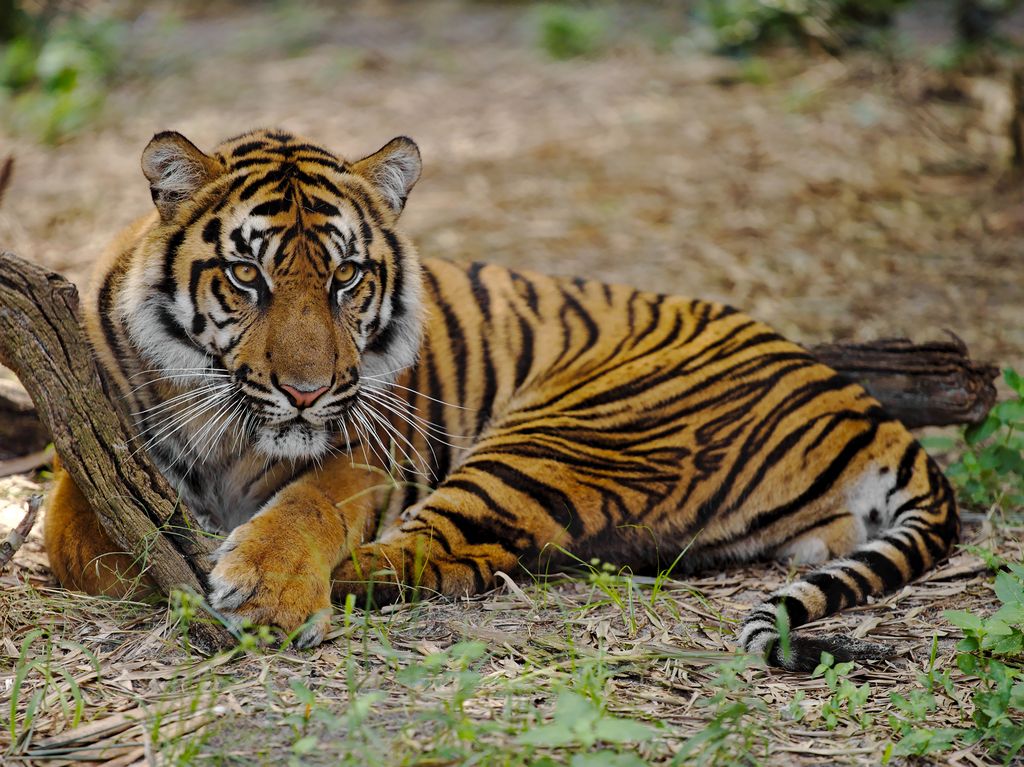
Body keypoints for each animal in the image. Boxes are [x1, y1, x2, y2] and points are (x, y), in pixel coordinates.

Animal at [43, 128, 959, 672]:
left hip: (562, 433)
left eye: (345, 277)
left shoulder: (371, 452)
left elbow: (307, 505)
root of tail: (859, 401)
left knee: (440, 555)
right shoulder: (94, 440)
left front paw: (266, 586)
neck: (231, 428)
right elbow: (84, 536)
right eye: (247, 275)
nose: (307, 391)